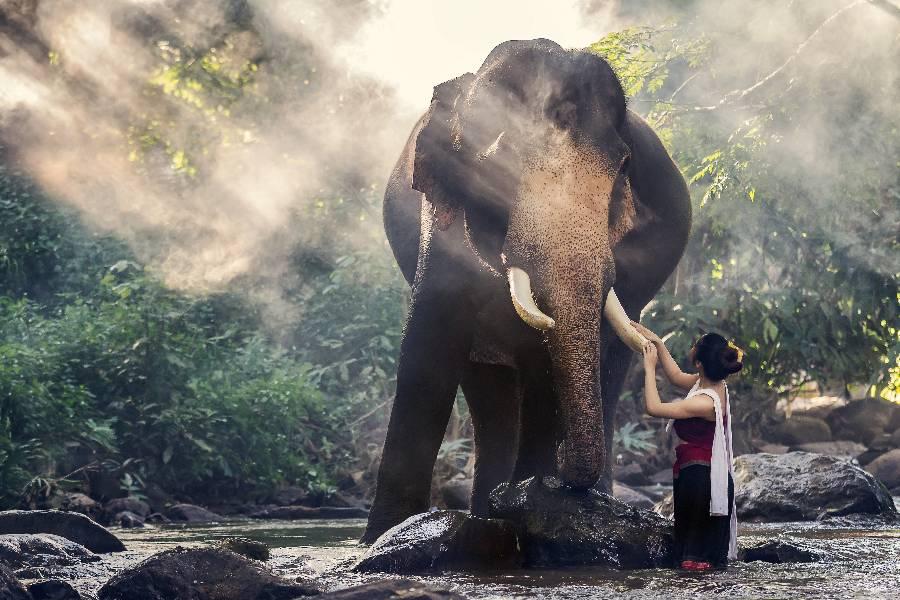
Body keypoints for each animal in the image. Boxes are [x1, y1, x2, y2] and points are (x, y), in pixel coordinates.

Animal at [362, 38, 692, 544]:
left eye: (624, 167)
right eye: (505, 156)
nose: (564, 472)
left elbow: (545, 370)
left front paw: (534, 503)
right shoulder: (439, 220)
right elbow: (427, 351)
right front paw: (379, 540)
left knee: (608, 367)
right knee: (486, 387)